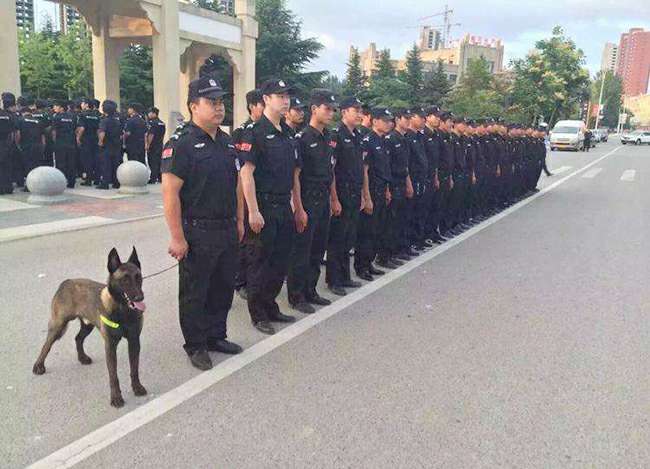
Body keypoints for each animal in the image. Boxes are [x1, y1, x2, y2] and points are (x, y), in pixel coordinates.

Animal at [32, 247, 147, 408]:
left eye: (138, 277)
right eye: (125, 279)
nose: (139, 297)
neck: (123, 311)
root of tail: (66, 282)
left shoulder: (134, 341)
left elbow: (134, 369)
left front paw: (137, 387)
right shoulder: (110, 346)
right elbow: (114, 376)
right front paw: (116, 397)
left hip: (87, 326)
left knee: (78, 339)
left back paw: (82, 358)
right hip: (58, 326)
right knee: (46, 345)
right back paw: (38, 365)